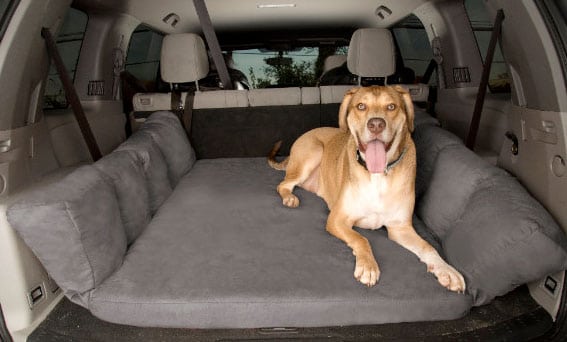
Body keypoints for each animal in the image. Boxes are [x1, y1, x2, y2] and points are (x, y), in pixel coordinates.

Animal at [270, 85, 466, 292]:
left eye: (391, 106)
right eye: (361, 106)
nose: (376, 125)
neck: (377, 175)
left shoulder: (400, 228)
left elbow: (427, 246)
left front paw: (446, 269)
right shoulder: (337, 219)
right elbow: (361, 239)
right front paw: (368, 266)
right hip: (313, 153)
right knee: (283, 184)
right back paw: (289, 197)